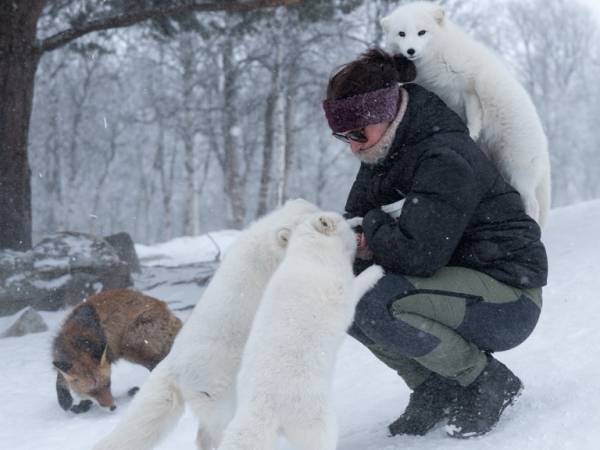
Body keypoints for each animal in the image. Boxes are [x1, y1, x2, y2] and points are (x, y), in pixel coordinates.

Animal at [51, 290, 182, 414]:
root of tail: (169, 313)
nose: (112, 407)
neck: (78, 341)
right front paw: (66, 401)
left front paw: (82, 406)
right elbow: (60, 378)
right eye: (92, 391)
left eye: (108, 384)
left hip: (131, 347)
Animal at [217, 212, 384, 450]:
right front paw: (376, 270)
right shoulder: (344, 293)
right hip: (319, 424)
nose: (360, 219)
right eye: (344, 219)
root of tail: (261, 405)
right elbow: (360, 283)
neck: (312, 254)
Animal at [382, 0, 552, 225]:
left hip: (517, 168)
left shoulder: (468, 88)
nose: (410, 50)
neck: (436, 59)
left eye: (421, 32)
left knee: (533, 204)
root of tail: (544, 147)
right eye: (401, 33)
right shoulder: (443, 95)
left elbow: (474, 116)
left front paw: (471, 133)